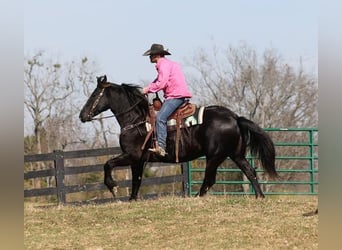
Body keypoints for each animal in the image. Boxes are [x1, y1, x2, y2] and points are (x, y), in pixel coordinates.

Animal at [79, 75, 276, 200]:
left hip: (214, 156)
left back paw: (196, 197)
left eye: (95, 95)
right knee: (250, 172)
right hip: (236, 154)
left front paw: (112, 186)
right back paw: (260, 196)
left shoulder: (132, 156)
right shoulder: (139, 161)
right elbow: (136, 182)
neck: (137, 120)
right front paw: (132, 199)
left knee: (210, 179)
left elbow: (108, 164)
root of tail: (234, 117)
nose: (82, 116)